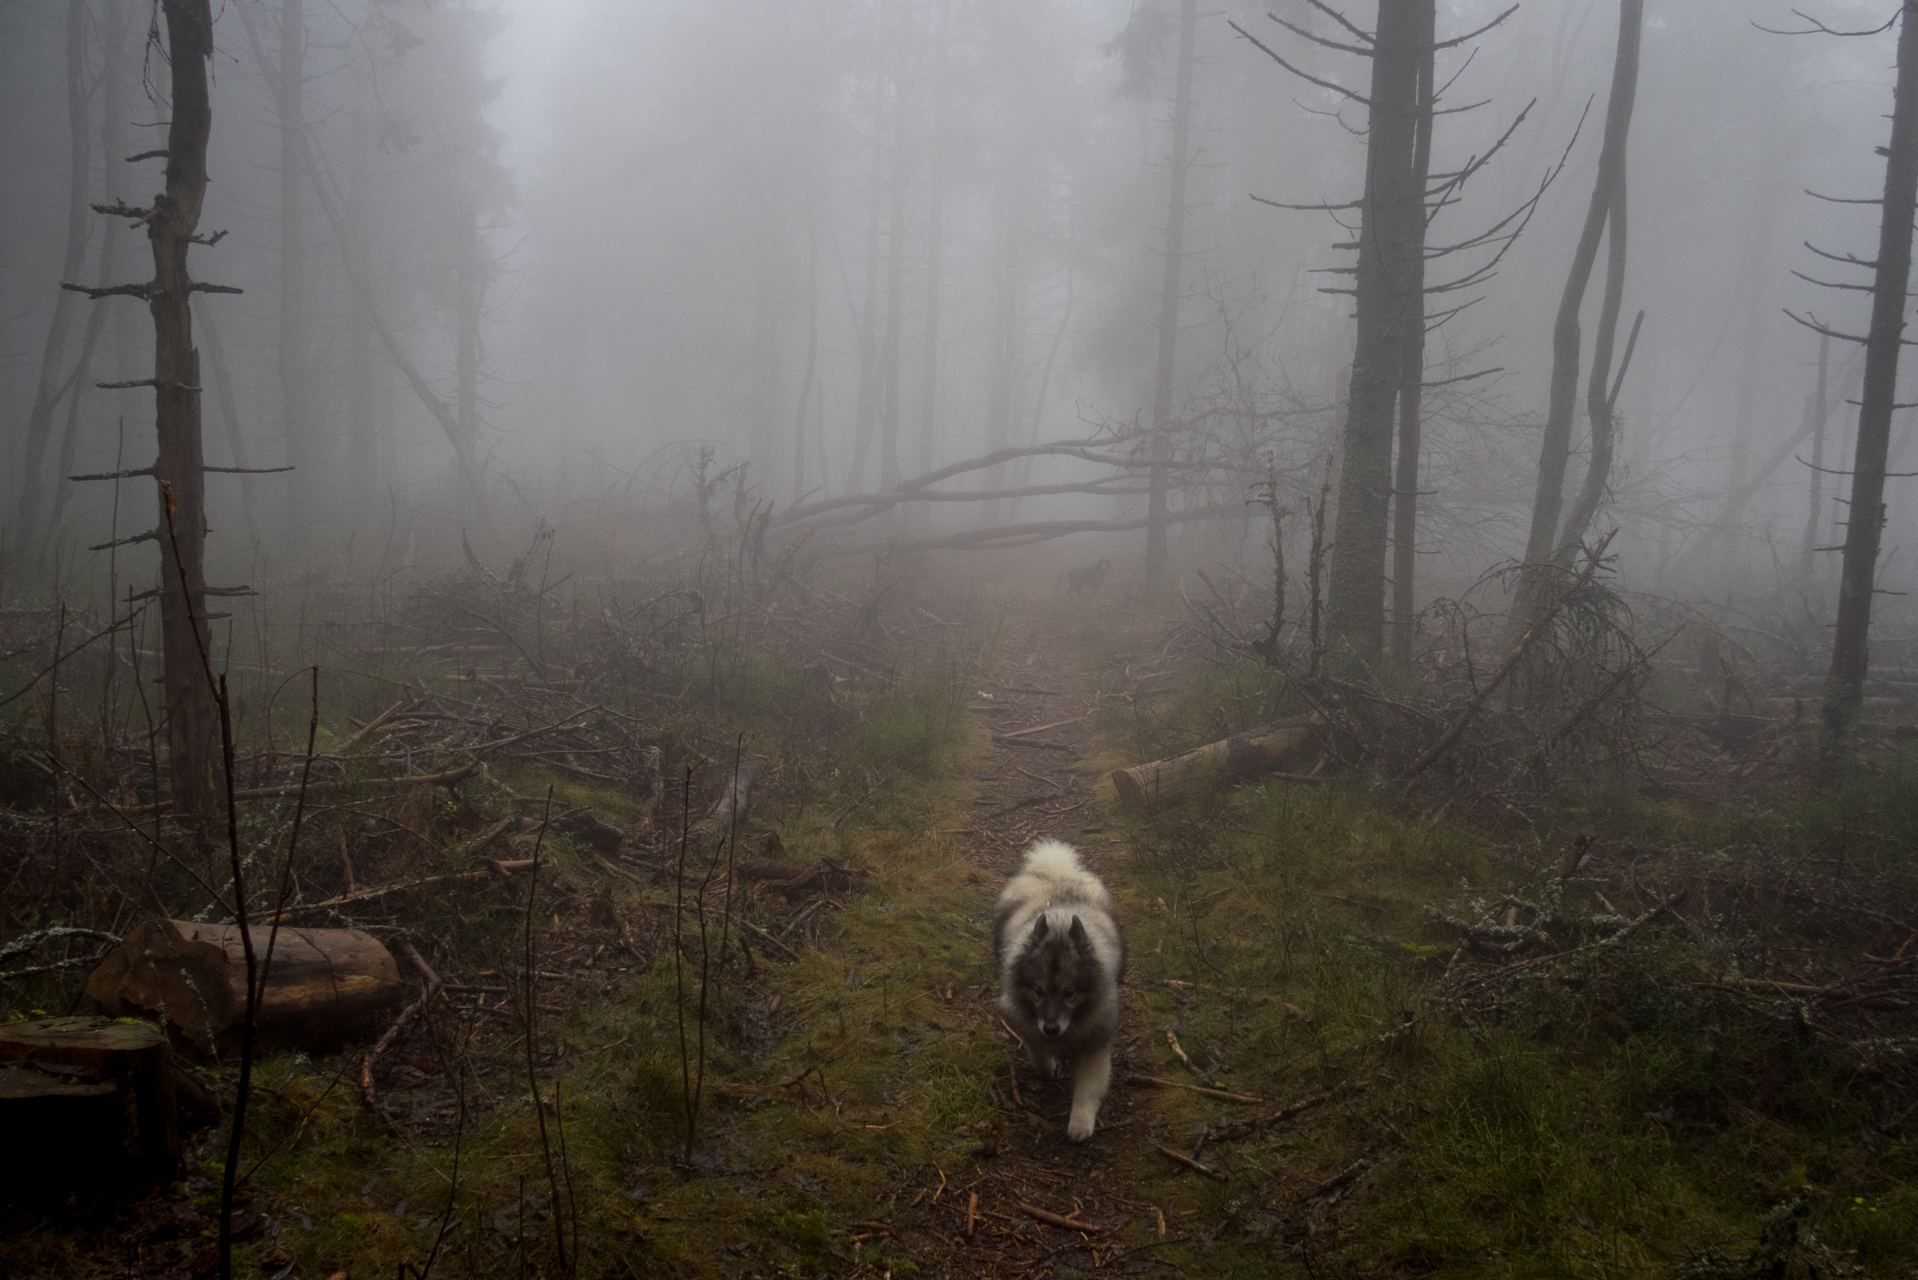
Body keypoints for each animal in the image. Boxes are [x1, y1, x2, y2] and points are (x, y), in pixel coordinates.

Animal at [1005, 840, 1120, 1143]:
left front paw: (1080, 1125)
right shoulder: (1029, 1025)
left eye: (1070, 993)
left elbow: (1088, 1087)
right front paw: (1048, 1068)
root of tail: (1055, 876)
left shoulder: (1094, 1041)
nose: (1052, 1028)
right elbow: (1038, 1052)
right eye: (1037, 991)